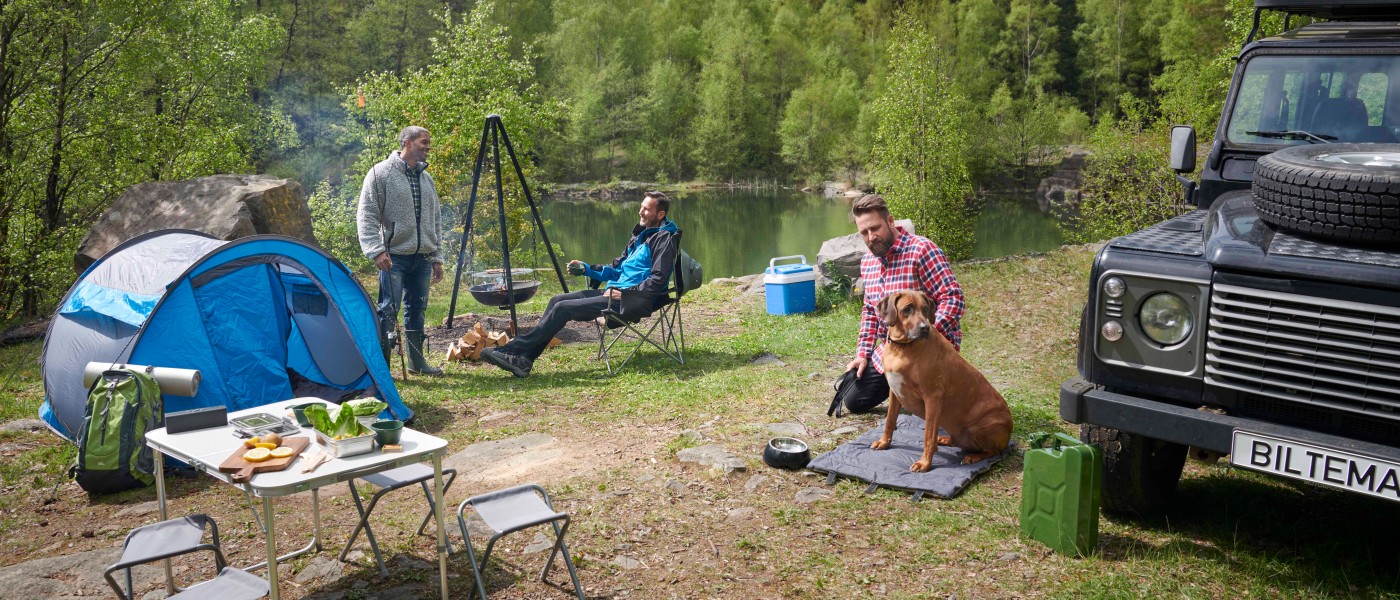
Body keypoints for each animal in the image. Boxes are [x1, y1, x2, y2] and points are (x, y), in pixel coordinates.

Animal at [868, 288, 1013, 469]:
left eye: (925, 309)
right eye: (907, 309)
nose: (925, 328)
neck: (902, 347)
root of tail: (1010, 430)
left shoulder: (933, 397)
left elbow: (928, 435)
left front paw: (924, 463)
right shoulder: (895, 392)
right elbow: (889, 421)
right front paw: (884, 442)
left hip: (982, 428)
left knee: (994, 451)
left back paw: (973, 457)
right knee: (956, 440)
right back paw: (944, 440)